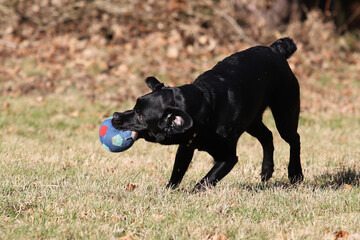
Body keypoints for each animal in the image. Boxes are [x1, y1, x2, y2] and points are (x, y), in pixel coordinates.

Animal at [112, 37, 304, 191]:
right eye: (134, 105)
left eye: (141, 116)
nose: (115, 116)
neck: (204, 110)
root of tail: (276, 50)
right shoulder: (186, 147)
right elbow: (177, 172)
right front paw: (168, 191)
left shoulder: (228, 157)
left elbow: (207, 179)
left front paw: (193, 192)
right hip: (252, 121)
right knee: (267, 136)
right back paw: (266, 171)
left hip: (284, 114)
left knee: (294, 139)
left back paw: (295, 173)